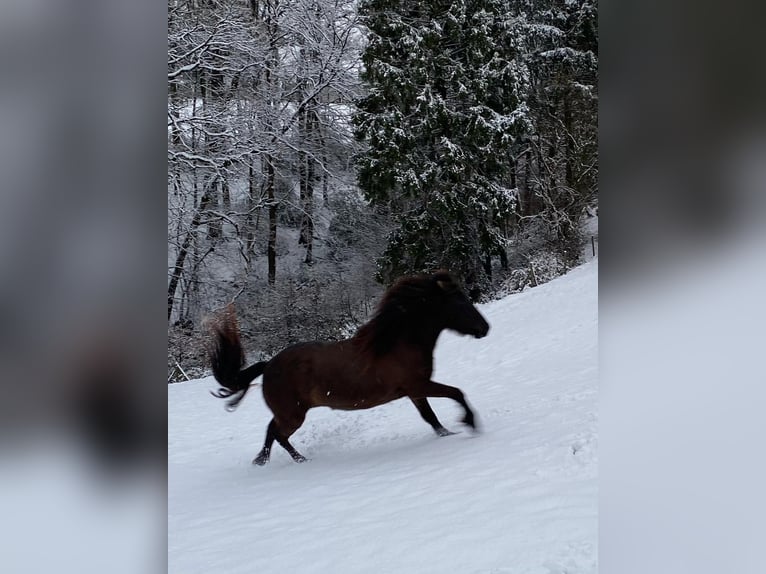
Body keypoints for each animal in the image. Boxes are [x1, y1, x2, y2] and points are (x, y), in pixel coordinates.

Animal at [208, 272, 492, 466]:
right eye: (460, 302)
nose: (485, 328)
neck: (396, 342)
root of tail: (268, 366)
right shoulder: (419, 385)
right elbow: (456, 393)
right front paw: (470, 423)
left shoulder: (415, 392)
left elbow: (431, 418)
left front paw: (449, 433)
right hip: (293, 416)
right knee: (278, 434)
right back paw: (299, 461)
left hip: (288, 414)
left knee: (271, 431)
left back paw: (265, 461)